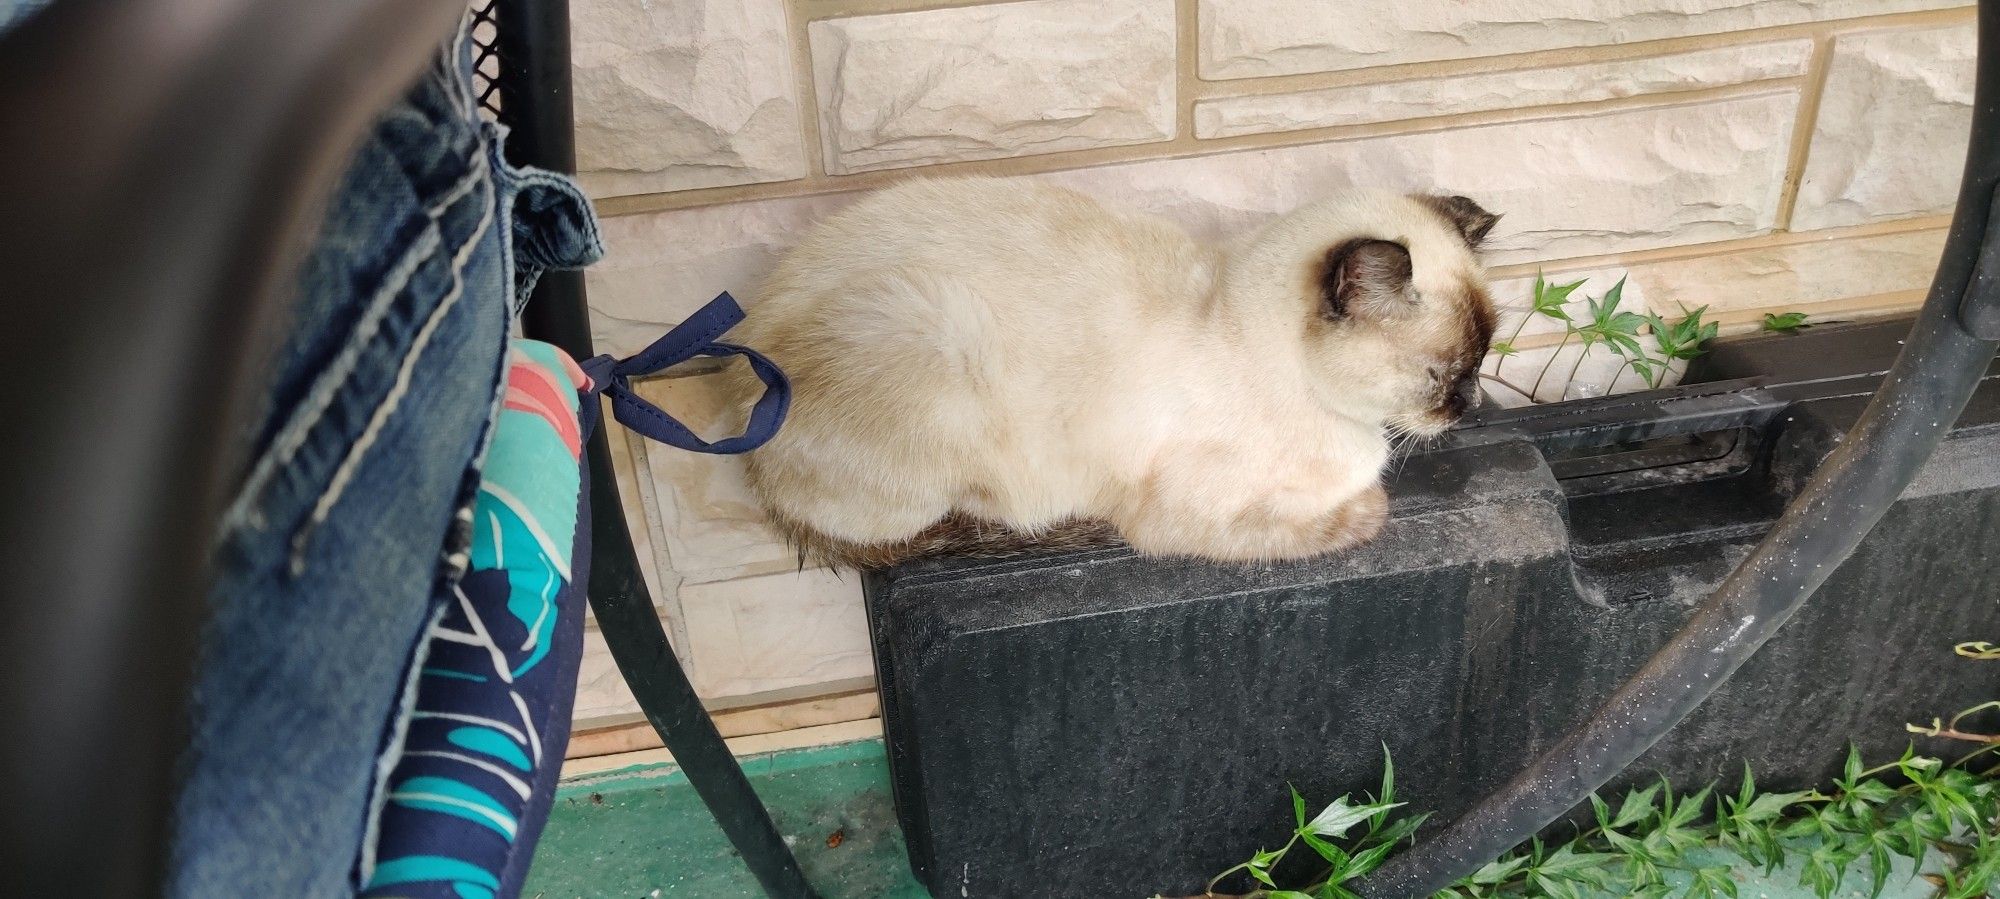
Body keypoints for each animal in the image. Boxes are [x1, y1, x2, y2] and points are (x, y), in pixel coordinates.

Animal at [728, 174, 1496, 567]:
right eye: (1439, 375)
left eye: (1482, 360)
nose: (1474, 404)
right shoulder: (1175, 517)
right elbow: (1310, 527)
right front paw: (1370, 509)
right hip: (935, 332)